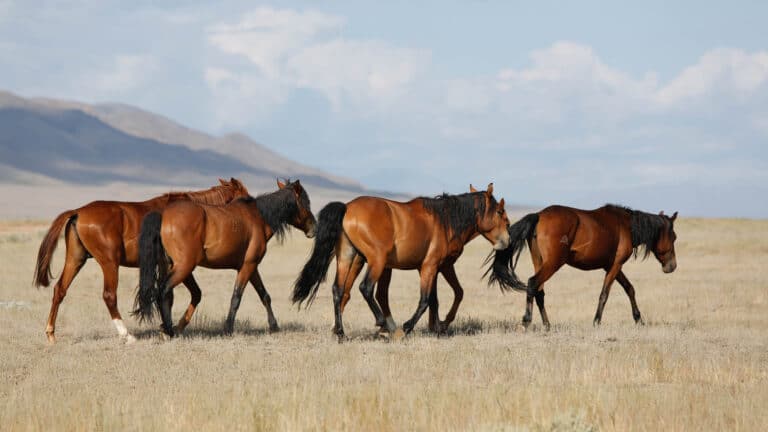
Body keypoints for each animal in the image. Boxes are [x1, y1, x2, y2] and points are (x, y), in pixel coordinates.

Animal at [32, 177, 249, 342]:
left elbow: (194, 294)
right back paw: (126, 335)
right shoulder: (174, 264)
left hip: (75, 260)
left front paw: (173, 327)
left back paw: (51, 334)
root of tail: (78, 211)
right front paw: (168, 328)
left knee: (60, 290)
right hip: (109, 263)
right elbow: (172, 295)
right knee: (109, 296)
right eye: (244, 198)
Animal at [133, 180, 316, 338]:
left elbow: (264, 296)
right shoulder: (247, 267)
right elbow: (236, 297)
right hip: (184, 267)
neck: (259, 217)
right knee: (163, 291)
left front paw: (274, 326)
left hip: (175, 267)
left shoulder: (252, 268)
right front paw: (228, 328)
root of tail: (163, 216)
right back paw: (169, 330)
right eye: (306, 202)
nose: (314, 227)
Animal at [292, 182, 510, 340]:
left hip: (349, 258)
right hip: (377, 261)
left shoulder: (436, 267)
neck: (445, 221)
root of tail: (347, 208)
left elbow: (442, 297)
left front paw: (437, 327)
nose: (506, 240)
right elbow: (427, 299)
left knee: (339, 290)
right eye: (500, 211)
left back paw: (341, 332)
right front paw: (413, 326)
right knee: (366, 288)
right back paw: (384, 324)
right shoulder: (433, 266)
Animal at [488, 204, 680, 330]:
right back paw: (527, 320)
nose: (672, 266)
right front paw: (596, 321)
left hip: (540, 262)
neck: (626, 226)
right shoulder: (615, 265)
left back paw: (547, 324)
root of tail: (539, 215)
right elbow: (604, 294)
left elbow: (630, 289)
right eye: (674, 237)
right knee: (533, 283)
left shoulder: (610, 266)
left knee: (539, 292)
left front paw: (638, 319)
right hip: (553, 264)